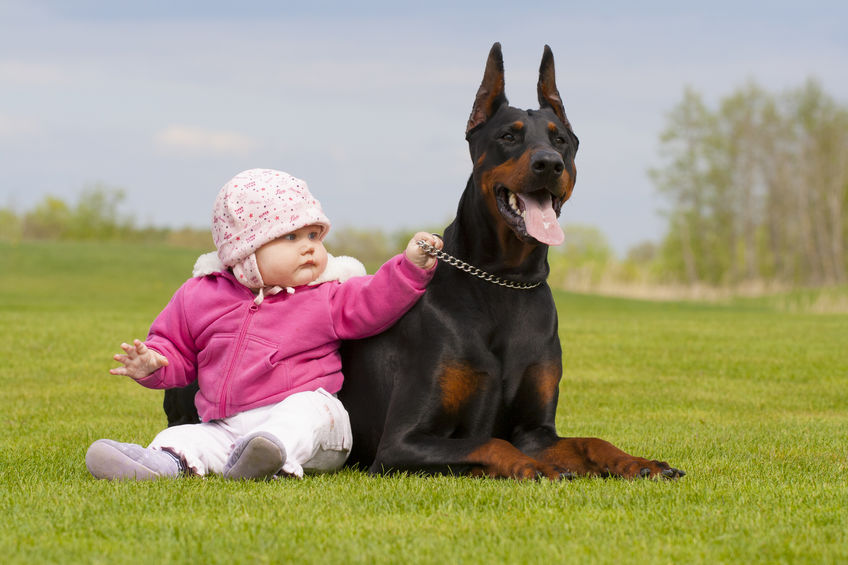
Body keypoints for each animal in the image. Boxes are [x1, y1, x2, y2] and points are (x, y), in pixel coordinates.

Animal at [164, 45, 684, 480]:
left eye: (562, 140)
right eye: (509, 136)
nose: (549, 164)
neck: (504, 282)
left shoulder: (537, 431)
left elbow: (589, 441)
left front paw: (639, 462)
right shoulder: (402, 443)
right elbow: (490, 443)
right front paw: (535, 469)